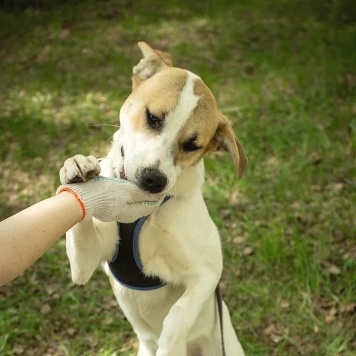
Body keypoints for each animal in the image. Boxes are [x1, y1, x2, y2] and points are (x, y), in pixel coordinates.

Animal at [59, 42, 246, 356]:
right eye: (153, 118)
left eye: (192, 145)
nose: (154, 180)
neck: (141, 216)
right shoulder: (85, 264)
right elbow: (81, 218)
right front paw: (76, 167)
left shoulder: (208, 272)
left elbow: (179, 313)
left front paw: (171, 346)